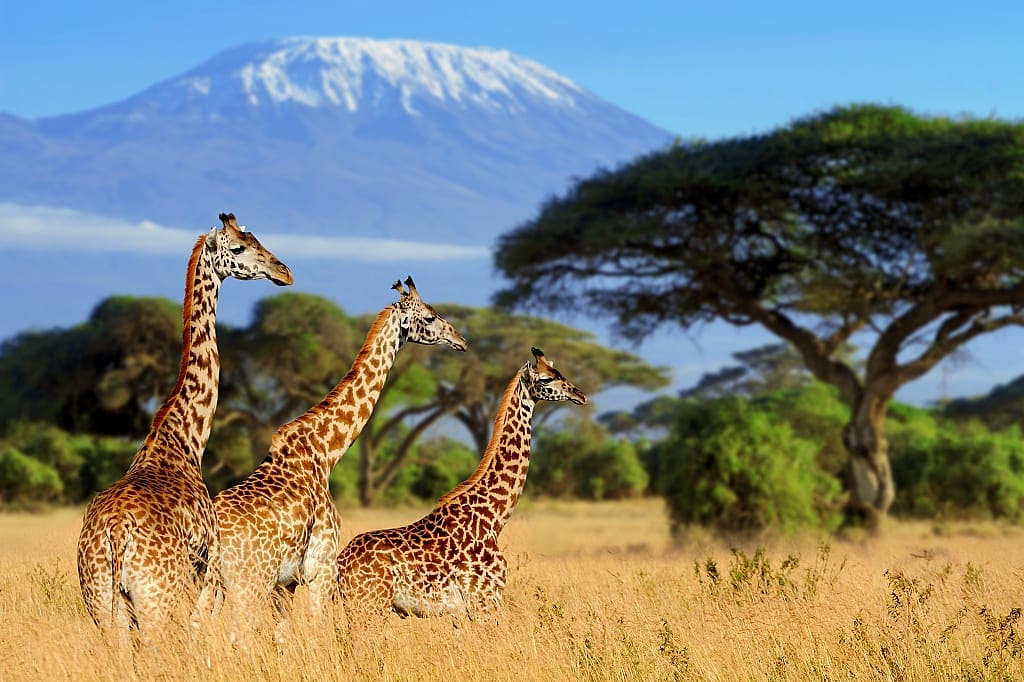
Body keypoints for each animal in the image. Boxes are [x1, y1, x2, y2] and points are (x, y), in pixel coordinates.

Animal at [77, 213, 293, 643]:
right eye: (239, 247)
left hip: (103, 604)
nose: (284, 272)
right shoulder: (209, 567)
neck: (184, 439)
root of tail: (114, 535)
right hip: (157, 600)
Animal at [210, 277, 467, 626]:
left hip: (213, 584)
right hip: (251, 581)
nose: (461, 340)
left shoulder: (287, 583)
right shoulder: (321, 567)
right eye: (428, 317)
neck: (326, 451)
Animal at [336, 346, 587, 618]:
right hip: (369, 605)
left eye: (559, 372)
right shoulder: (484, 601)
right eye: (546, 379)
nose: (580, 395)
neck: (493, 518)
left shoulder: (464, 612)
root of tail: (340, 564)